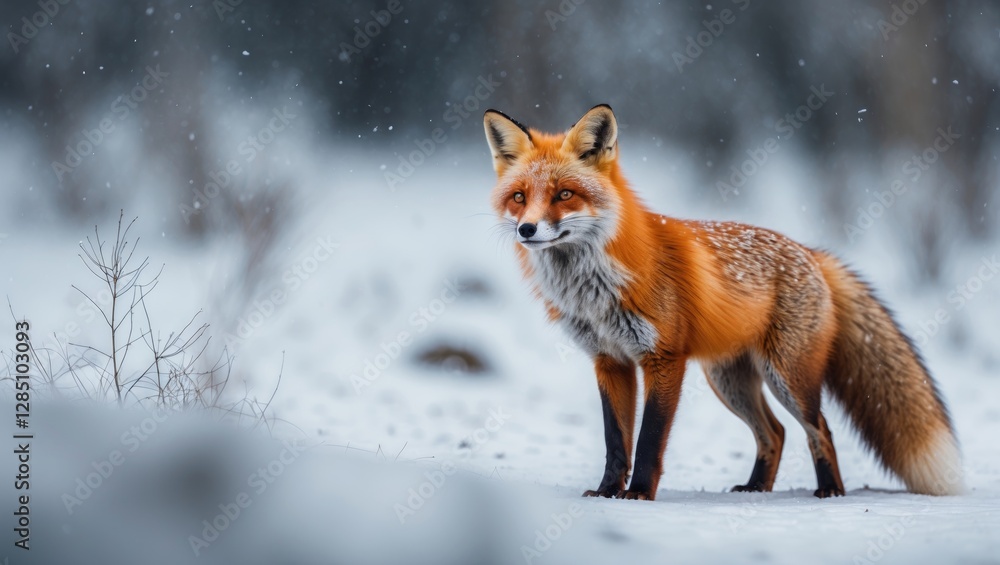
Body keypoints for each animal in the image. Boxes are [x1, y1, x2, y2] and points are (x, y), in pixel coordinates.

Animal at [482, 104, 964, 500]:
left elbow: (649, 438)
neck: (595, 289)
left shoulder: (663, 359)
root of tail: (811, 253)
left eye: (564, 194)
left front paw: (637, 495)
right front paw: (606, 492)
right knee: (775, 433)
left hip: (788, 376)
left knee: (818, 428)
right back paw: (756, 489)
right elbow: (615, 440)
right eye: (520, 197)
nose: (527, 229)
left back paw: (830, 491)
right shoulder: (610, 361)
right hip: (729, 380)